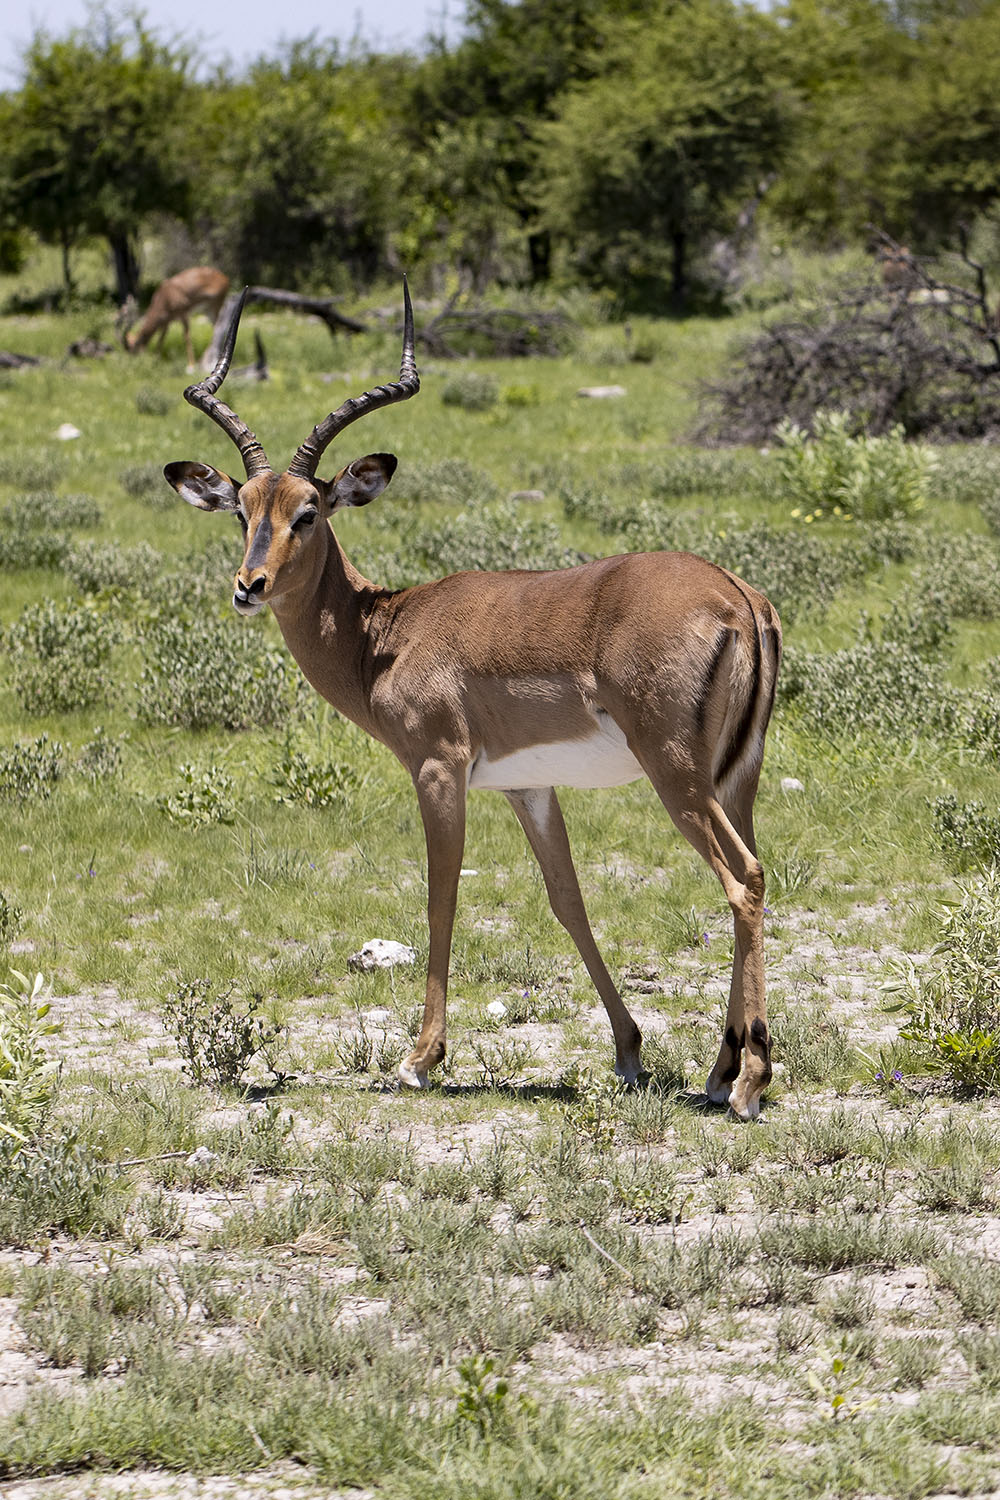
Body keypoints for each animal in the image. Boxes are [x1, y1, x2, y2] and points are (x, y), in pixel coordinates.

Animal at [164, 286, 779, 1122]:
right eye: (243, 510)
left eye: (308, 512)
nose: (248, 586)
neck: (385, 632)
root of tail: (740, 597)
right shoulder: (529, 785)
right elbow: (567, 900)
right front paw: (627, 1052)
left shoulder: (438, 768)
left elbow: (440, 897)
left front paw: (419, 1059)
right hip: (732, 780)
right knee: (755, 874)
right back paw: (722, 1070)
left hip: (676, 775)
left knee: (742, 878)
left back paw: (748, 1084)